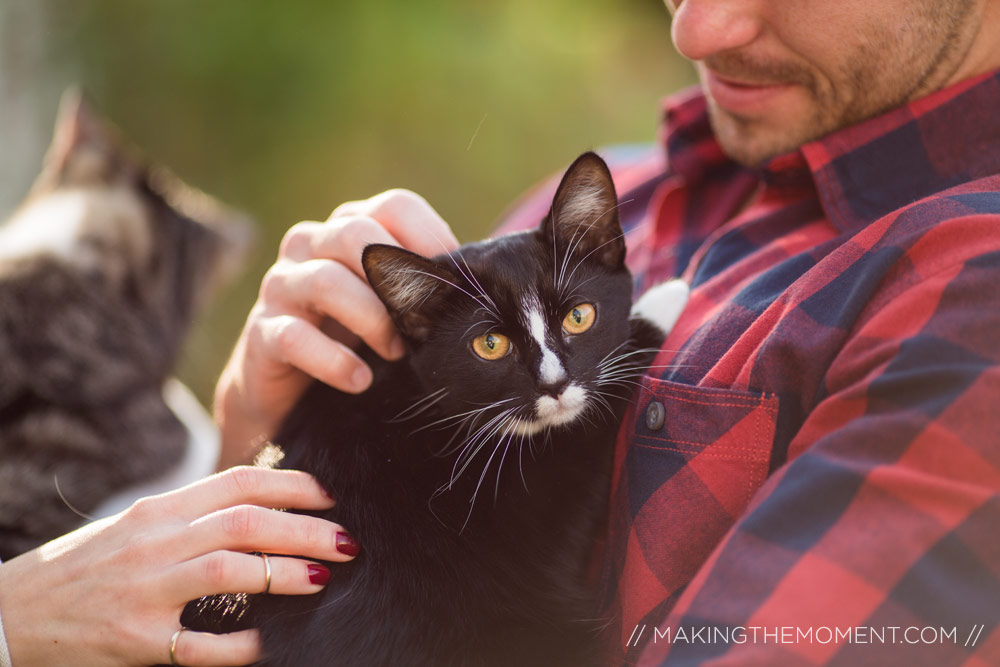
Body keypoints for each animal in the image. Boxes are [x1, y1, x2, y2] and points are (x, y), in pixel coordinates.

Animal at [188, 153, 688, 667]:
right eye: (491, 344)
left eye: (579, 316)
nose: (554, 384)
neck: (421, 413)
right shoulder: (523, 494)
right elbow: (590, 420)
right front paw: (666, 298)